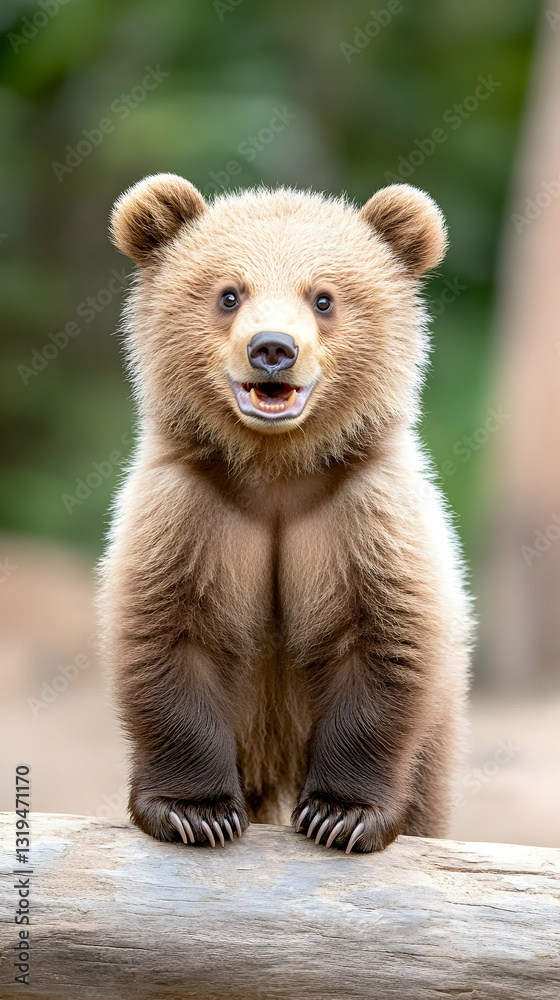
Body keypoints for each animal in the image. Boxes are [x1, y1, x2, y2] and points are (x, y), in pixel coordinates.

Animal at [99, 173, 471, 854]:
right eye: (228, 293)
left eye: (323, 297)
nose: (273, 348)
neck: (276, 471)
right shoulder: (189, 510)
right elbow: (168, 635)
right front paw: (195, 812)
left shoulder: (363, 514)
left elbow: (384, 643)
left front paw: (342, 816)